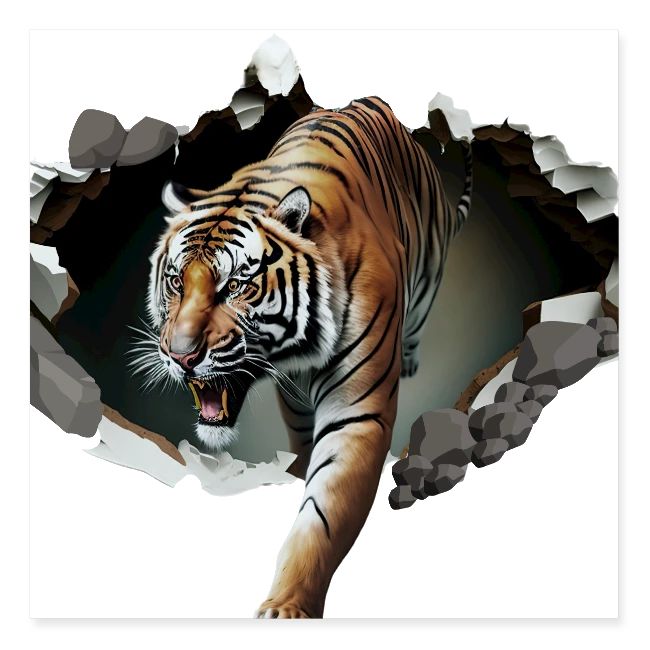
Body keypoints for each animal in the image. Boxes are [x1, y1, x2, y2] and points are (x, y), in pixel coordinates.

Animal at [144, 96, 473, 618]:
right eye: (176, 281)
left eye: (234, 286)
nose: (181, 356)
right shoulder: (295, 403)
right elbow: (303, 457)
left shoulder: (356, 415)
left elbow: (323, 513)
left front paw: (286, 607)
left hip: (429, 270)